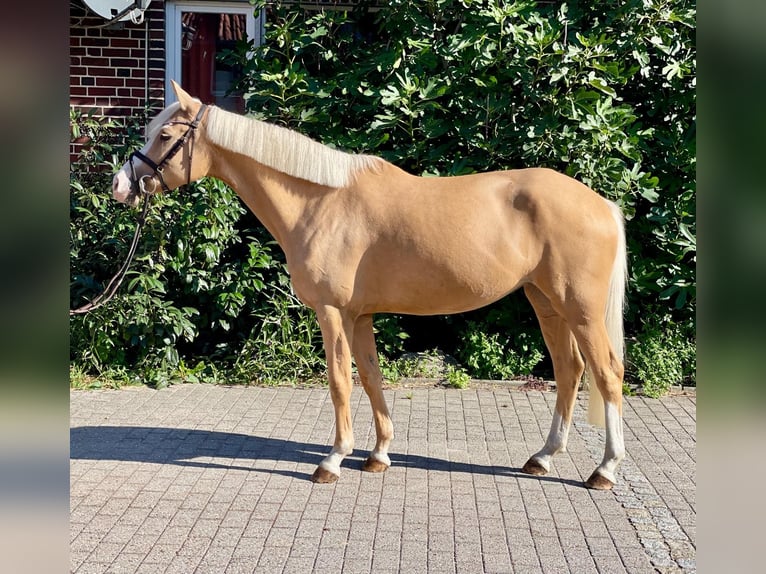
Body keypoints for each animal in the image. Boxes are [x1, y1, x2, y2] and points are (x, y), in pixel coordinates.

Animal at [113, 81, 628, 490]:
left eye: (164, 135)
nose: (122, 186)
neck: (321, 203)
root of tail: (602, 204)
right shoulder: (360, 316)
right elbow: (372, 378)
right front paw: (378, 456)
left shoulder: (332, 312)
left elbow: (340, 381)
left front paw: (333, 460)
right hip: (547, 303)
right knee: (569, 371)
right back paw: (542, 458)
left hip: (580, 308)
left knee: (606, 372)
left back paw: (604, 470)